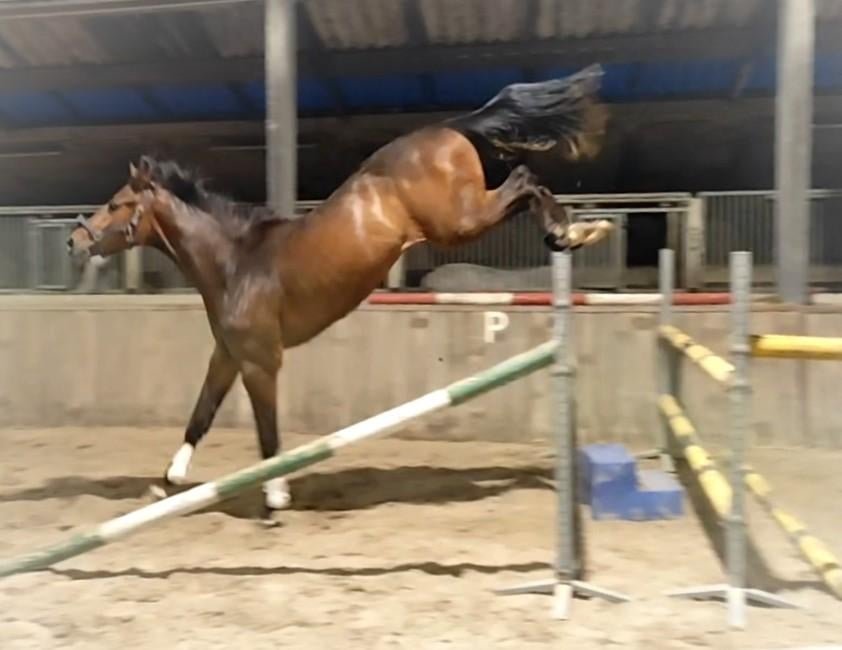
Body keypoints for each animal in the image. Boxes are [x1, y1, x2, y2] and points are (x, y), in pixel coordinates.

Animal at [66, 64, 614, 516]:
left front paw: (276, 497)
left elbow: (267, 432)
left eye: (115, 204)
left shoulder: (260, 361)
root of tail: (448, 128)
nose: (75, 240)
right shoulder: (228, 353)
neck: (236, 262)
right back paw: (574, 233)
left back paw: (574, 232)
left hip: (459, 221)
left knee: (524, 179)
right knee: (526, 182)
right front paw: (167, 480)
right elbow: (200, 415)